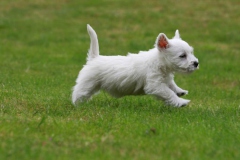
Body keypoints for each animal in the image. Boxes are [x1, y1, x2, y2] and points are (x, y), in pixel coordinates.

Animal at [71, 24, 199, 107]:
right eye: (182, 55)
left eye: (191, 52)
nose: (196, 63)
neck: (159, 62)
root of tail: (94, 58)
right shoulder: (155, 85)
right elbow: (169, 93)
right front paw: (181, 102)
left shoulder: (165, 79)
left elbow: (172, 86)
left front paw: (180, 91)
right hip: (87, 84)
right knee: (78, 94)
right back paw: (78, 106)